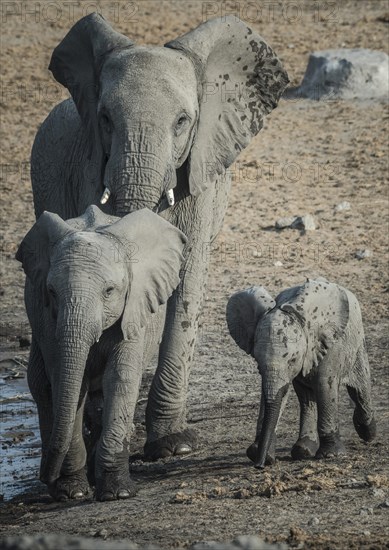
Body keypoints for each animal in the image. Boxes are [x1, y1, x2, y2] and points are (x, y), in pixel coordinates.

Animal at [17, 205, 187, 502]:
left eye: (109, 291)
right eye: (51, 292)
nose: (45, 476)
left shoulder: (135, 308)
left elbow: (119, 378)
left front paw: (117, 492)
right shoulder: (47, 320)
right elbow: (66, 384)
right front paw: (72, 492)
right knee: (41, 386)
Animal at [31, 12, 288, 462]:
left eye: (183, 122)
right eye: (105, 119)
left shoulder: (201, 179)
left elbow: (187, 283)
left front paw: (173, 445)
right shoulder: (88, 168)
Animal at [226, 280, 374, 470]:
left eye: (292, 360)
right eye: (257, 361)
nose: (259, 465)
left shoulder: (328, 344)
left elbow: (325, 384)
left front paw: (331, 455)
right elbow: (277, 393)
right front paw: (259, 454)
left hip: (356, 341)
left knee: (359, 388)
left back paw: (367, 431)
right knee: (306, 396)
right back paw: (303, 450)